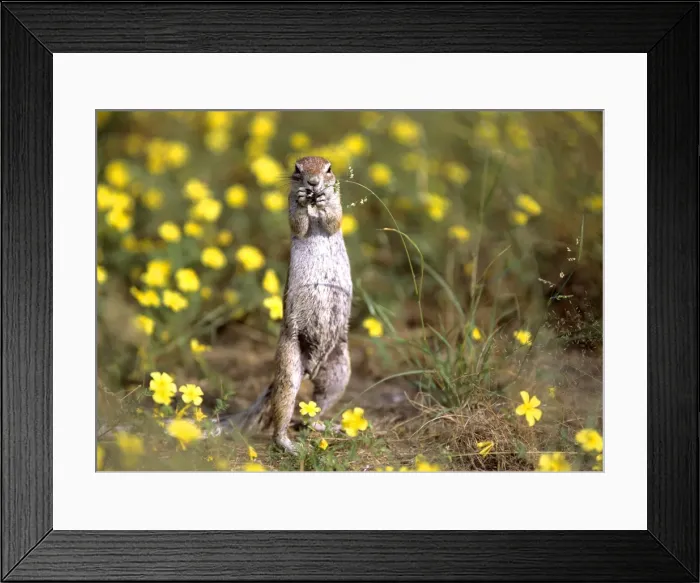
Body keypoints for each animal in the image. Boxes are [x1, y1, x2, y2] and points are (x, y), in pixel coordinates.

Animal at [218, 156, 353, 454]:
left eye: (328, 168)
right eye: (297, 168)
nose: (312, 183)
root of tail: (310, 369)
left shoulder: (337, 205)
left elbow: (334, 219)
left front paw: (323, 200)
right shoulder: (290, 207)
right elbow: (298, 223)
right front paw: (304, 200)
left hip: (339, 371)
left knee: (312, 411)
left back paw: (326, 426)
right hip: (290, 364)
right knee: (284, 410)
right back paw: (288, 444)